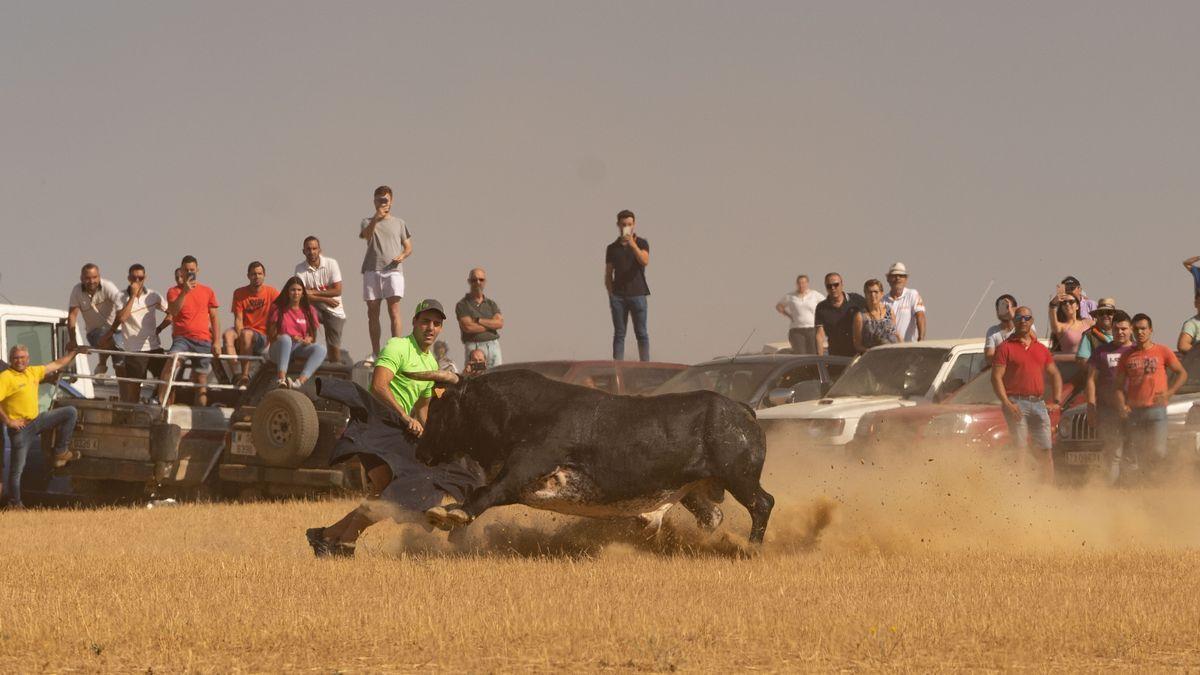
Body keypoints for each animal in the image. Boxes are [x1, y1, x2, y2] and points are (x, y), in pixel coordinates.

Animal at [417, 367, 772, 540]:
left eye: (439, 407)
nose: (420, 451)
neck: (520, 411)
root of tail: (741, 409)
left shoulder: (524, 470)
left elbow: (486, 492)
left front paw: (454, 514)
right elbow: (480, 491)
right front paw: (443, 513)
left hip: (740, 478)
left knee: (762, 504)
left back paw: (750, 548)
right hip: (692, 489)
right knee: (712, 516)